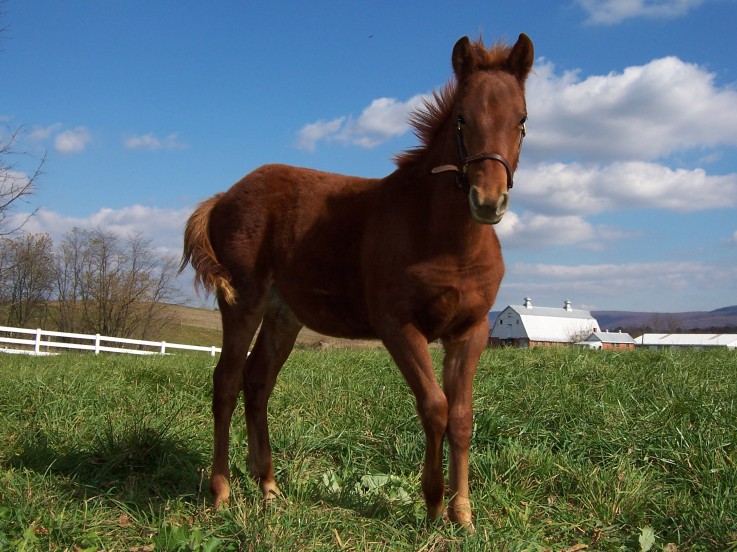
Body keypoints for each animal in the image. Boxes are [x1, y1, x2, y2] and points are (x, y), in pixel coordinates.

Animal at [181, 33, 532, 528]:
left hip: (283, 315)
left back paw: (268, 486)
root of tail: (223, 196)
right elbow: (435, 407)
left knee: (258, 380)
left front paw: (463, 513)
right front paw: (432, 503)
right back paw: (221, 491)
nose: (488, 200)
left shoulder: (471, 330)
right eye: (462, 119)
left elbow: (462, 416)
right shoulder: (398, 326)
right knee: (226, 382)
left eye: (521, 120)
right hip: (242, 302)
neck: (445, 239)